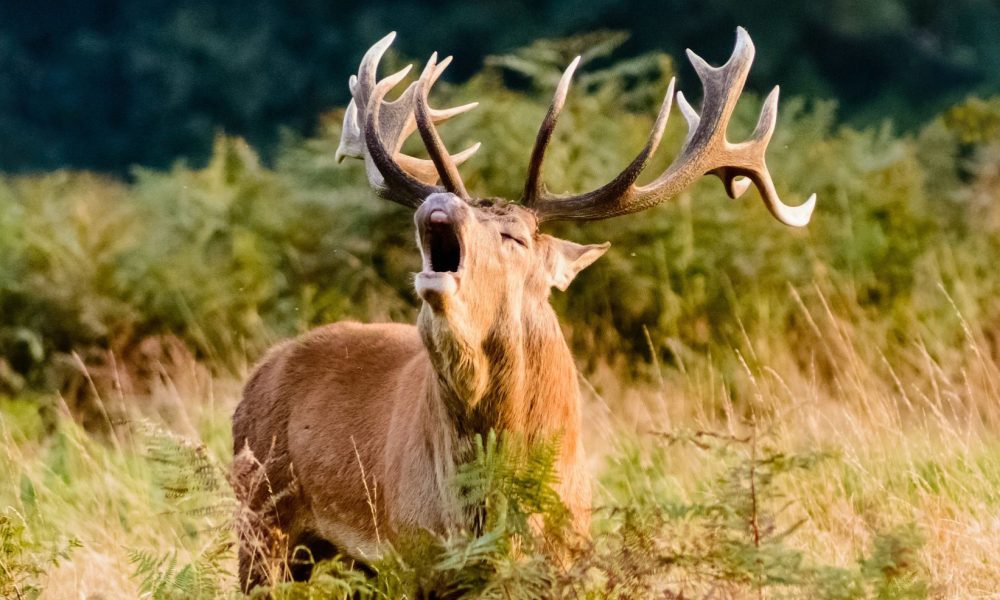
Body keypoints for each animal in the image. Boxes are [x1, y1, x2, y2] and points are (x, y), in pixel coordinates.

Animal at [232, 28, 812, 592]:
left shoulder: (567, 555)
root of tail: (256, 375)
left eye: (514, 236)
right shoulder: (410, 552)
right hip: (259, 522)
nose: (437, 203)